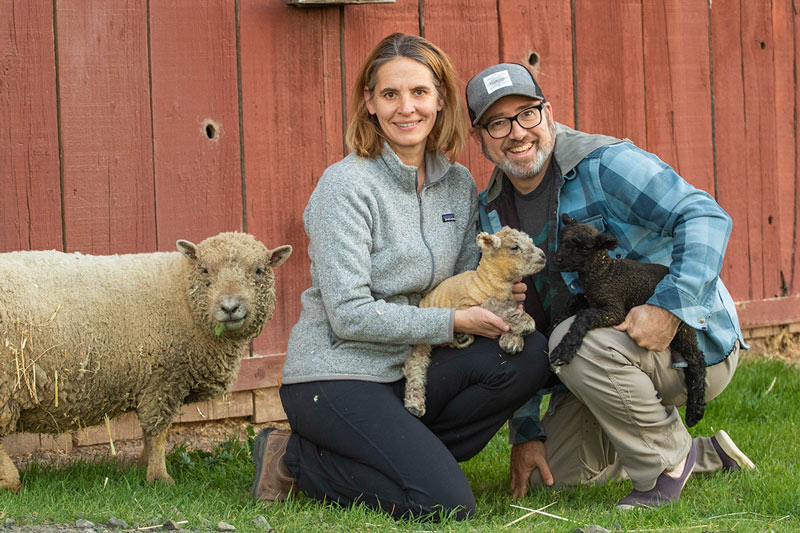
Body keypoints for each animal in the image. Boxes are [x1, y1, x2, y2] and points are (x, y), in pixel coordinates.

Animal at [0, 233, 292, 490]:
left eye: (258, 270)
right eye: (205, 270)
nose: (230, 307)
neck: (183, 293)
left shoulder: (153, 382)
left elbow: (149, 435)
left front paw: (142, 464)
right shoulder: (163, 379)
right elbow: (157, 432)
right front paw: (159, 477)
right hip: (6, 383)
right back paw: (10, 482)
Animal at [404, 224, 548, 416]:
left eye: (530, 241)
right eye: (515, 247)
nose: (543, 256)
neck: (487, 283)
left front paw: (512, 341)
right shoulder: (466, 306)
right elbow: (495, 306)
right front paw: (525, 324)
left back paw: (461, 338)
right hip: (424, 337)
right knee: (415, 362)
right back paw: (415, 404)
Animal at [552, 214, 708, 426]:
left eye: (584, 247)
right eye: (561, 240)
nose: (557, 259)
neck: (603, 273)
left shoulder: (615, 309)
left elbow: (583, 317)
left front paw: (564, 350)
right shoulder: (591, 299)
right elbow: (574, 300)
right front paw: (557, 320)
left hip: (681, 330)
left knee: (697, 359)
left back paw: (695, 412)